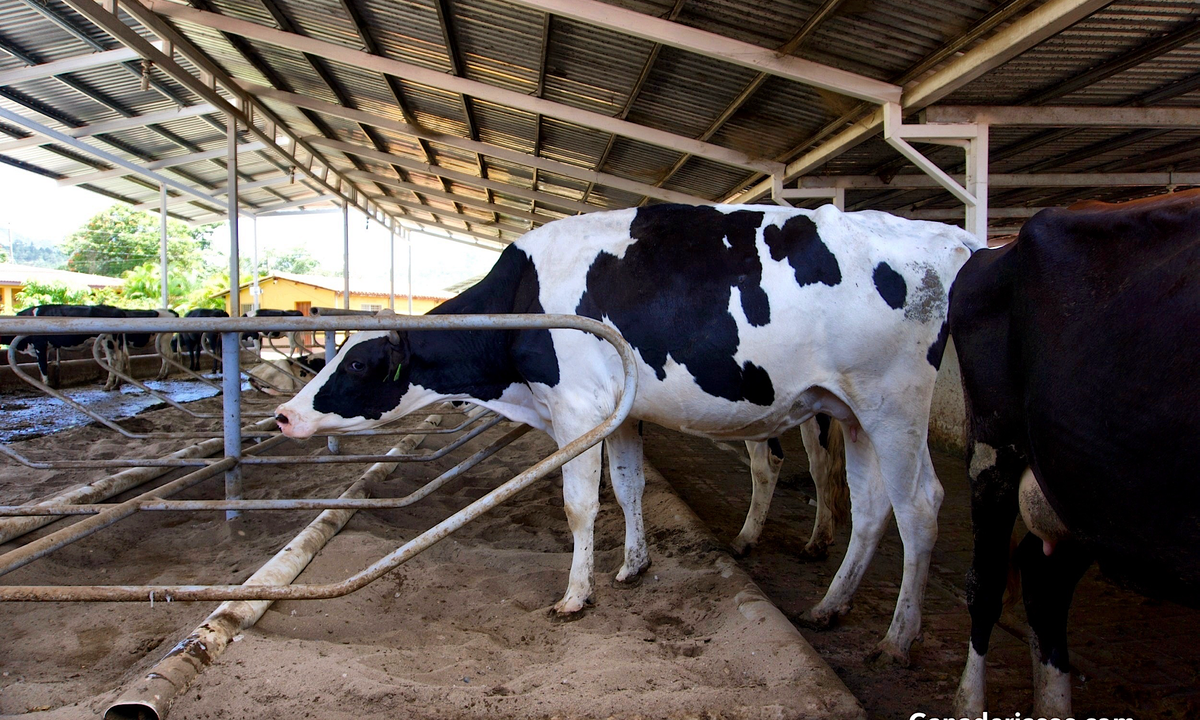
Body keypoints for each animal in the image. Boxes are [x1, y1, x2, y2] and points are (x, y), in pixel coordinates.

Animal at [276, 202, 979, 662]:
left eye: (358, 363)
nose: (285, 414)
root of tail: (942, 236)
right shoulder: (621, 412)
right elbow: (628, 487)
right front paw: (634, 566)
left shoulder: (577, 407)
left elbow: (581, 505)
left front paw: (575, 596)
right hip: (854, 411)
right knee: (870, 506)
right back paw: (830, 606)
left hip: (894, 406)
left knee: (920, 506)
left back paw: (897, 638)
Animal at [945, 188, 1200, 715]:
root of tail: (989, 252)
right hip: (994, 451)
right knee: (988, 584)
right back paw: (969, 703)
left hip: (1087, 492)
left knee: (1044, 579)